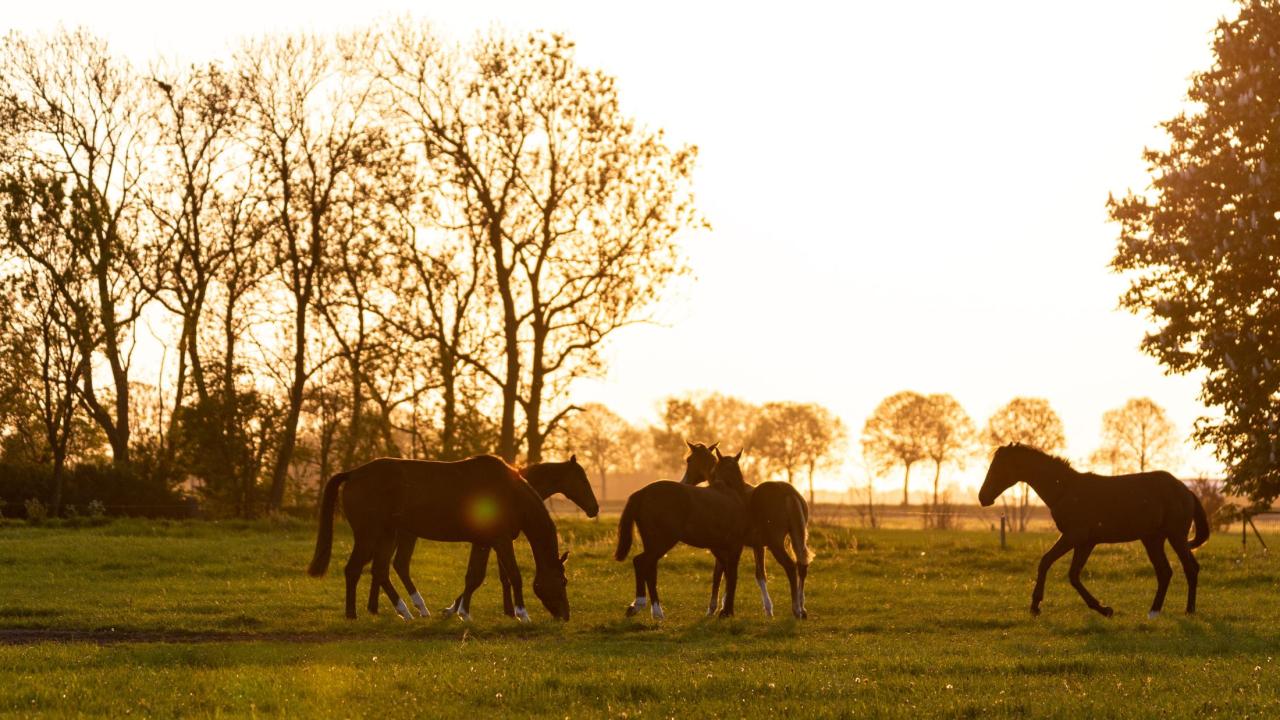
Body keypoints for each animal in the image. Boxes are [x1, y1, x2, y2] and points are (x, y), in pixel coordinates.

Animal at [307, 456, 568, 620]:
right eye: (563, 582)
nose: (566, 615)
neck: (509, 492)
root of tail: (353, 474)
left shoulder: (483, 542)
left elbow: (474, 577)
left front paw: (463, 613)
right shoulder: (501, 541)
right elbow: (514, 575)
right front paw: (523, 614)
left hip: (388, 534)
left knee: (380, 571)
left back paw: (407, 611)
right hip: (368, 535)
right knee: (353, 570)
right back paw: (353, 614)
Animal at [611, 440, 747, 614]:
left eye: (689, 460)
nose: (685, 481)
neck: (730, 492)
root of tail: (643, 492)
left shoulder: (719, 547)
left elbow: (722, 575)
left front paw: (718, 608)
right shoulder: (734, 546)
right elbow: (731, 574)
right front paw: (726, 610)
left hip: (652, 542)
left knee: (648, 567)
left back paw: (645, 608)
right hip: (662, 542)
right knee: (641, 562)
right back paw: (650, 608)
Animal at [686, 453, 814, 617]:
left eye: (689, 460)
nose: (686, 481)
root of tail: (788, 492)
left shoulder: (727, 546)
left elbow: (719, 574)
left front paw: (715, 608)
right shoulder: (758, 546)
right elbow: (759, 574)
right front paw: (767, 609)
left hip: (776, 543)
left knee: (790, 567)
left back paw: (796, 609)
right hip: (797, 537)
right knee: (802, 566)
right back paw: (802, 608)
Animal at [977, 440, 1208, 614]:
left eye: (999, 467)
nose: (982, 497)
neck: (1065, 490)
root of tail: (1186, 491)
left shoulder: (1074, 536)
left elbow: (1047, 563)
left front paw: (1035, 605)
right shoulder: (1085, 542)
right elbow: (1073, 574)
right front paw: (1103, 609)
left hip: (1175, 536)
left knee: (1189, 568)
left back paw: (1189, 610)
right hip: (1153, 539)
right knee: (1165, 572)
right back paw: (1154, 611)